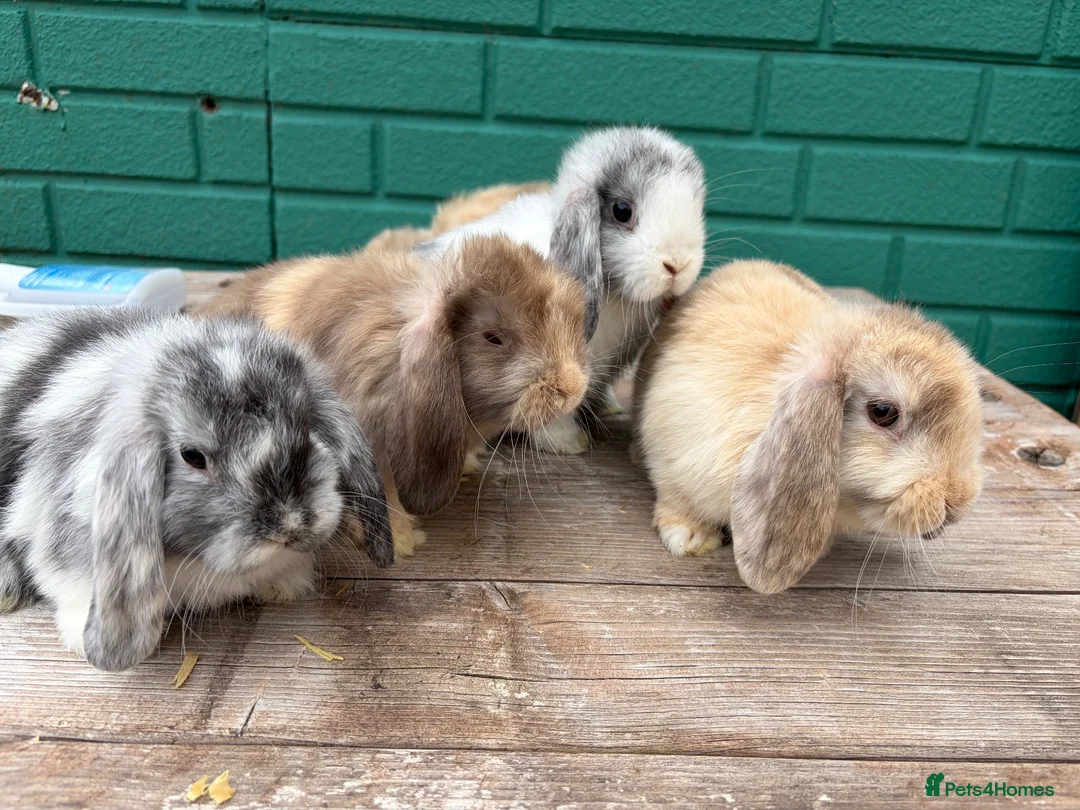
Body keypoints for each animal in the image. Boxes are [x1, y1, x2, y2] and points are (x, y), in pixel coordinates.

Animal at [416, 126, 706, 455]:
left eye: (698, 207)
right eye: (622, 211)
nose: (677, 265)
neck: (613, 293)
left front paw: (608, 408)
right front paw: (570, 441)